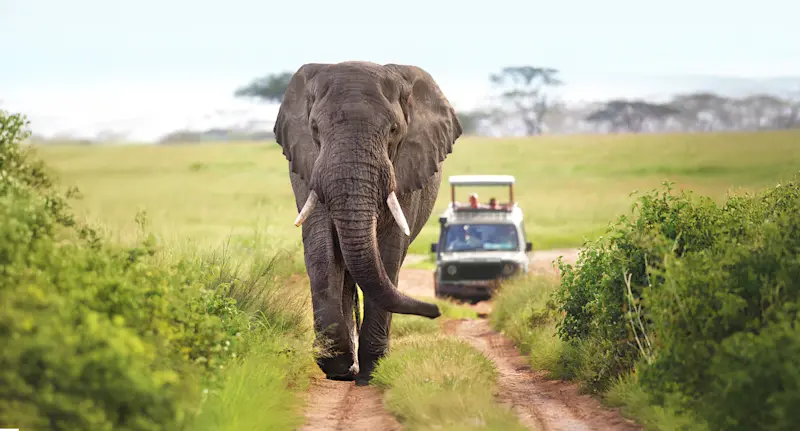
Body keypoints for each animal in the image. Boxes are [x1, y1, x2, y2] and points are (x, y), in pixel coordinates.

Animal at [272, 61, 463, 385]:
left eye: (394, 130)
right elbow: (322, 250)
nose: (437, 310)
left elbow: (389, 251)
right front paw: (336, 366)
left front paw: (372, 370)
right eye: (315, 129)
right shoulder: (306, 169)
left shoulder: (405, 172)